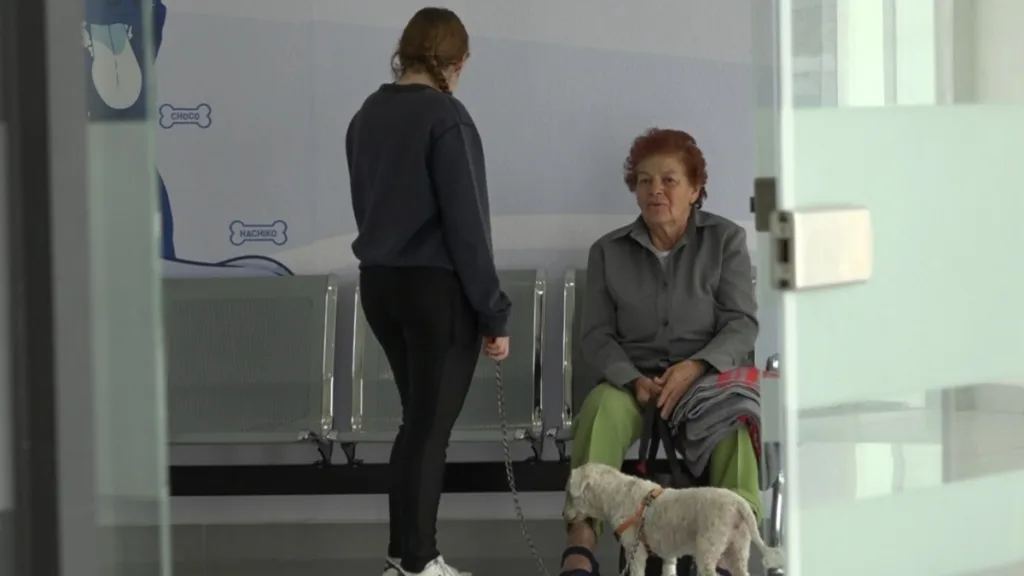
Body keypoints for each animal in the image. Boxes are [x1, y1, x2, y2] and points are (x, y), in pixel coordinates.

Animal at [564, 463, 784, 576]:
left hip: (710, 547)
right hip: (738, 547)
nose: (564, 515)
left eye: (568, 494)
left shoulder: (635, 551)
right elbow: (669, 570)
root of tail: (740, 504)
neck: (618, 492)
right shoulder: (669, 554)